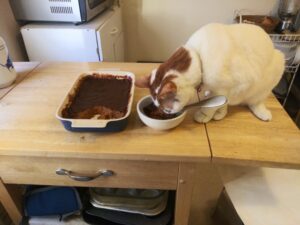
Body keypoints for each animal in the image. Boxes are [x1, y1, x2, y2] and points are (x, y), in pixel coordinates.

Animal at [135, 22, 284, 123]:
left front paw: (205, 115)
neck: (199, 58)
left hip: (274, 69)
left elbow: (211, 106)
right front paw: (221, 113)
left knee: (256, 101)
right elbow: (222, 103)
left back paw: (262, 113)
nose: (167, 113)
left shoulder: (225, 89)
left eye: (166, 108)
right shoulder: (224, 93)